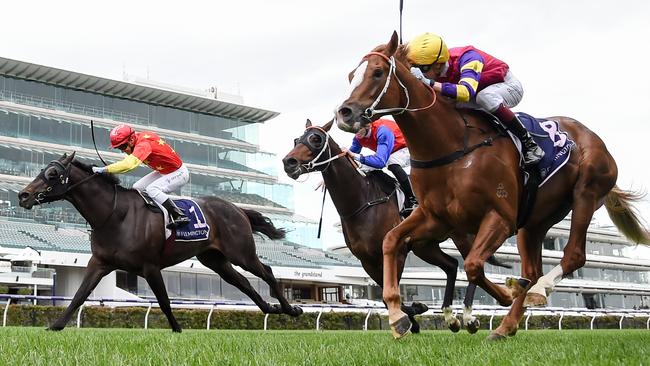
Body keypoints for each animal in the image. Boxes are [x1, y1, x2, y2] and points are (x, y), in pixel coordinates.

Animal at [17, 152, 302, 332]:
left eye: (52, 173)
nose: (23, 195)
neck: (115, 214)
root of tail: (238, 209)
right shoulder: (99, 263)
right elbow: (79, 295)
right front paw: (56, 325)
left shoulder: (150, 267)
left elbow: (164, 300)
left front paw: (177, 328)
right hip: (215, 259)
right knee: (243, 282)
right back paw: (270, 308)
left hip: (241, 252)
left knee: (267, 272)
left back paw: (290, 309)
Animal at [280, 120, 508, 334]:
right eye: (296, 139)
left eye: (316, 139)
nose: (288, 162)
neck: (363, 200)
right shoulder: (367, 260)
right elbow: (384, 295)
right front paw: (413, 320)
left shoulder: (397, 252)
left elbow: (392, 292)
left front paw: (416, 310)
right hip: (425, 246)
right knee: (452, 265)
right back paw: (451, 316)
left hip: (463, 237)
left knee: (472, 267)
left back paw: (470, 316)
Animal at [334, 31, 648, 340]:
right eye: (350, 75)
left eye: (377, 72)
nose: (344, 113)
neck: (450, 144)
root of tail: (590, 135)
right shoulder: (435, 218)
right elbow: (391, 241)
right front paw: (399, 317)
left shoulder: (499, 217)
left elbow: (473, 265)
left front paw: (489, 304)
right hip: (534, 222)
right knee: (531, 268)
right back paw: (505, 326)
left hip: (587, 191)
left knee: (573, 256)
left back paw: (535, 291)